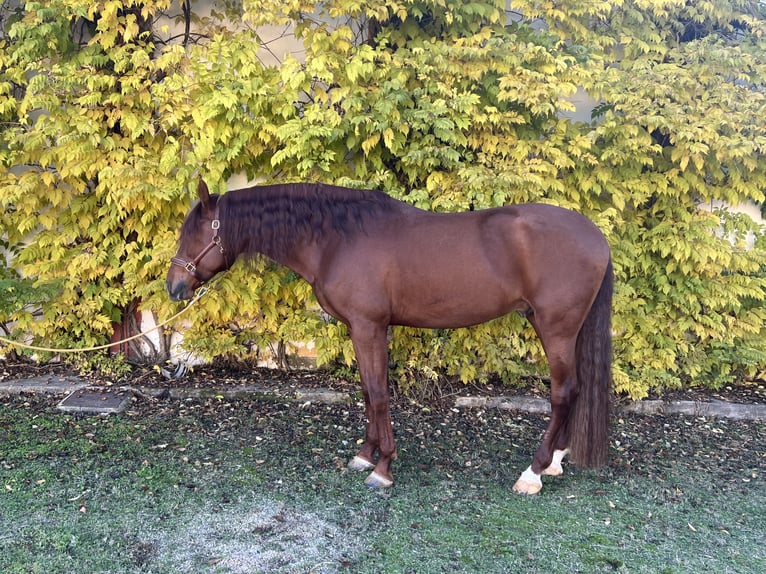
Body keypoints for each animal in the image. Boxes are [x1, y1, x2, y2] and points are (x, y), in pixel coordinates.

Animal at [166, 180, 612, 496]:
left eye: (193, 234)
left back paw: (533, 472)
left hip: (555, 327)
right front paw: (365, 455)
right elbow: (367, 390)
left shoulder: (370, 326)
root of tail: (596, 236)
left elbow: (379, 393)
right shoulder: (358, 328)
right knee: (573, 389)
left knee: (563, 392)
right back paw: (555, 460)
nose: (174, 287)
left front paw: (383, 469)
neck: (337, 239)